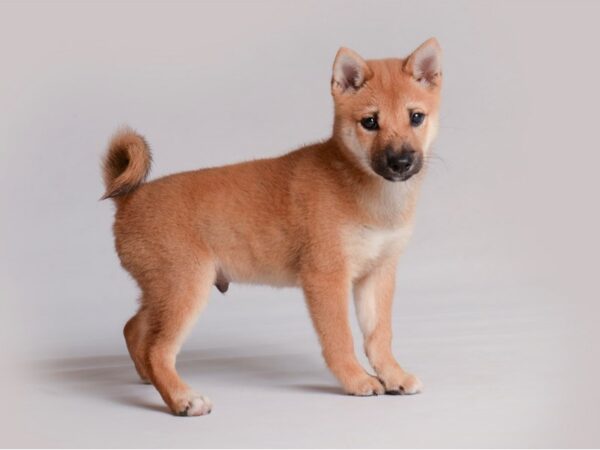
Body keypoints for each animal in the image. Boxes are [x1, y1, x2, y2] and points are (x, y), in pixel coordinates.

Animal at [102, 39, 440, 418]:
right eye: (370, 122)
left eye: (416, 117)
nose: (401, 162)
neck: (366, 191)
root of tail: (129, 200)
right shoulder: (326, 277)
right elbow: (340, 338)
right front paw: (355, 380)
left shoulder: (377, 275)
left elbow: (379, 336)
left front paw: (393, 375)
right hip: (185, 288)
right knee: (157, 349)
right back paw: (182, 398)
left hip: (163, 291)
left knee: (135, 331)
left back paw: (150, 379)